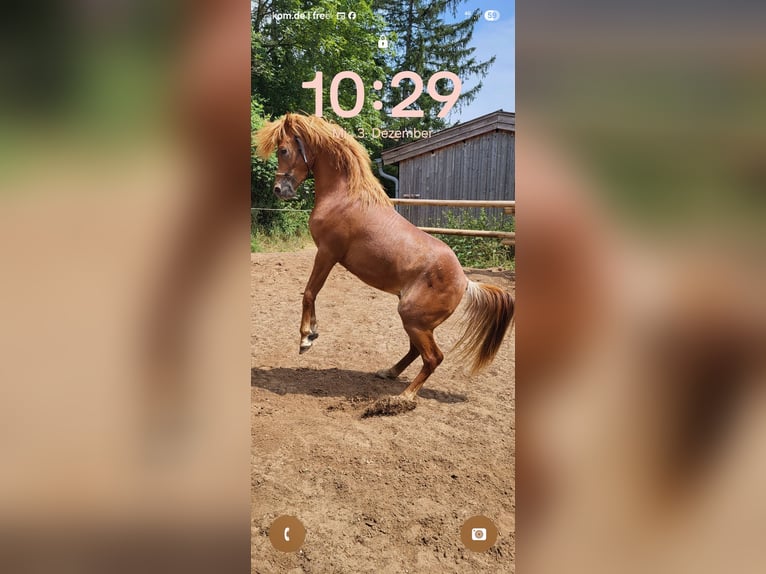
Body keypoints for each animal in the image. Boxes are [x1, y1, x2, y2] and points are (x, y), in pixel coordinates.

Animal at [255, 113, 514, 402]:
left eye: (283, 150)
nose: (279, 190)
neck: (344, 197)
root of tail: (466, 282)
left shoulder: (327, 253)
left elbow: (310, 293)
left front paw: (306, 338)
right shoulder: (326, 254)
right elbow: (311, 293)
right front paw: (312, 332)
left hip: (413, 319)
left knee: (433, 357)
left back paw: (405, 397)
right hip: (417, 322)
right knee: (416, 352)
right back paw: (388, 372)